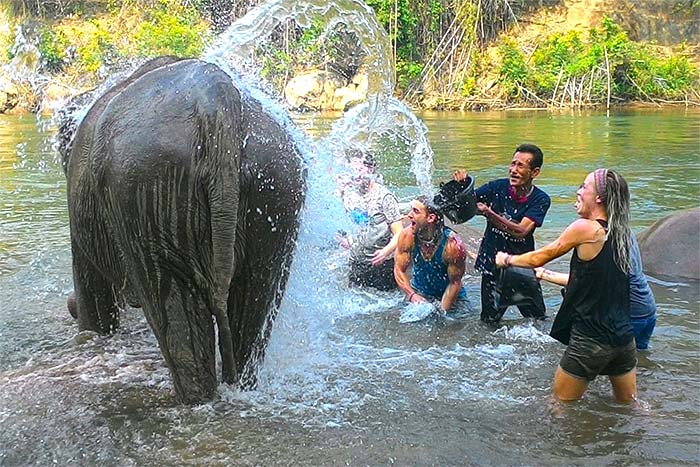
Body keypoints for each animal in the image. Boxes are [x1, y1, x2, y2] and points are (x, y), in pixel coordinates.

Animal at [61, 58, 308, 404]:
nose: (67, 306)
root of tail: (217, 101)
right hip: (277, 183)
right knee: (255, 300)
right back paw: (239, 388)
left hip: (147, 187)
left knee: (171, 307)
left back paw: (192, 399)